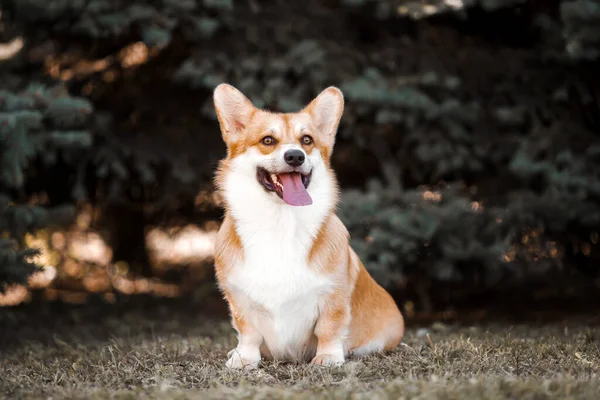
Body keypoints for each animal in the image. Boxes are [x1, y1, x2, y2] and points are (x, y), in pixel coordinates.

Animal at [211, 84, 404, 368]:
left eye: (307, 140)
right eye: (267, 140)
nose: (295, 156)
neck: (280, 222)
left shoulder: (333, 295)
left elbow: (329, 328)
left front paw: (328, 358)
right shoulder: (239, 298)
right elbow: (248, 332)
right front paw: (244, 359)